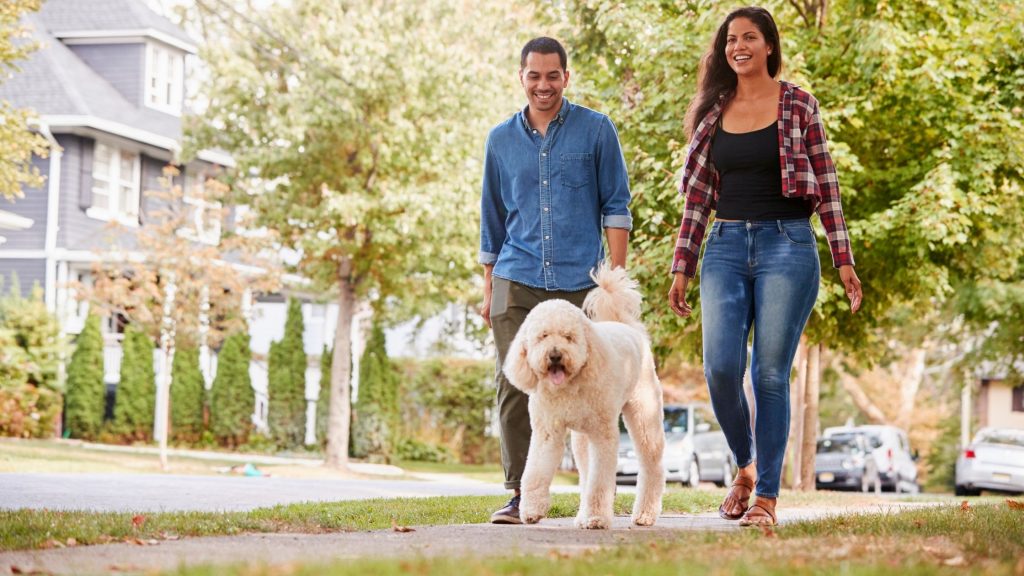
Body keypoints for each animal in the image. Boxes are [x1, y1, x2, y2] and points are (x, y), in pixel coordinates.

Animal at [501, 262, 663, 528]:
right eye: (542, 336)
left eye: (569, 337)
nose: (555, 355)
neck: (568, 386)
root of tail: (628, 327)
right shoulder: (547, 432)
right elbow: (535, 471)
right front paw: (531, 509)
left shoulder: (603, 435)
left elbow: (600, 482)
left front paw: (596, 517)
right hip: (581, 438)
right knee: (586, 472)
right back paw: (582, 515)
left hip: (644, 416)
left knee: (652, 465)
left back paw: (645, 514)